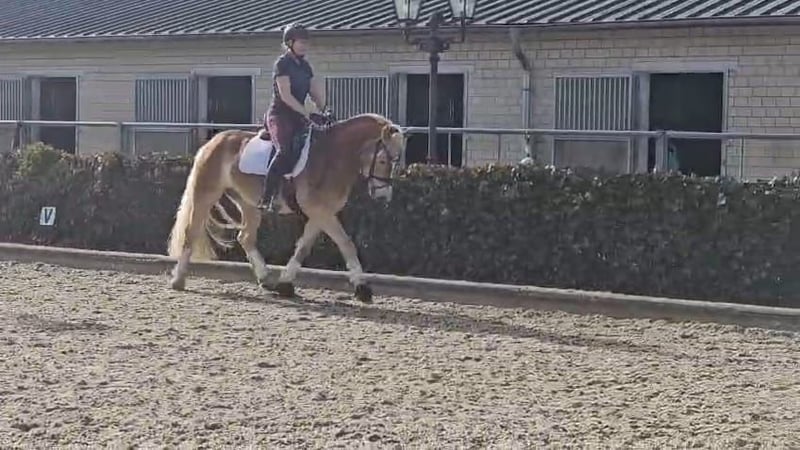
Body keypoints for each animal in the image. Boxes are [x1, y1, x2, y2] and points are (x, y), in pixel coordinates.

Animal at [165, 112, 406, 302]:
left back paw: (266, 280)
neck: (331, 157)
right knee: (191, 232)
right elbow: (346, 243)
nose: (383, 196)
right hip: (206, 194)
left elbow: (303, 247)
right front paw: (363, 289)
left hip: (249, 203)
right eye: (383, 160)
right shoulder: (321, 212)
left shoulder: (321, 213)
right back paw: (178, 280)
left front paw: (285, 285)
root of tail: (214, 141)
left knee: (246, 238)